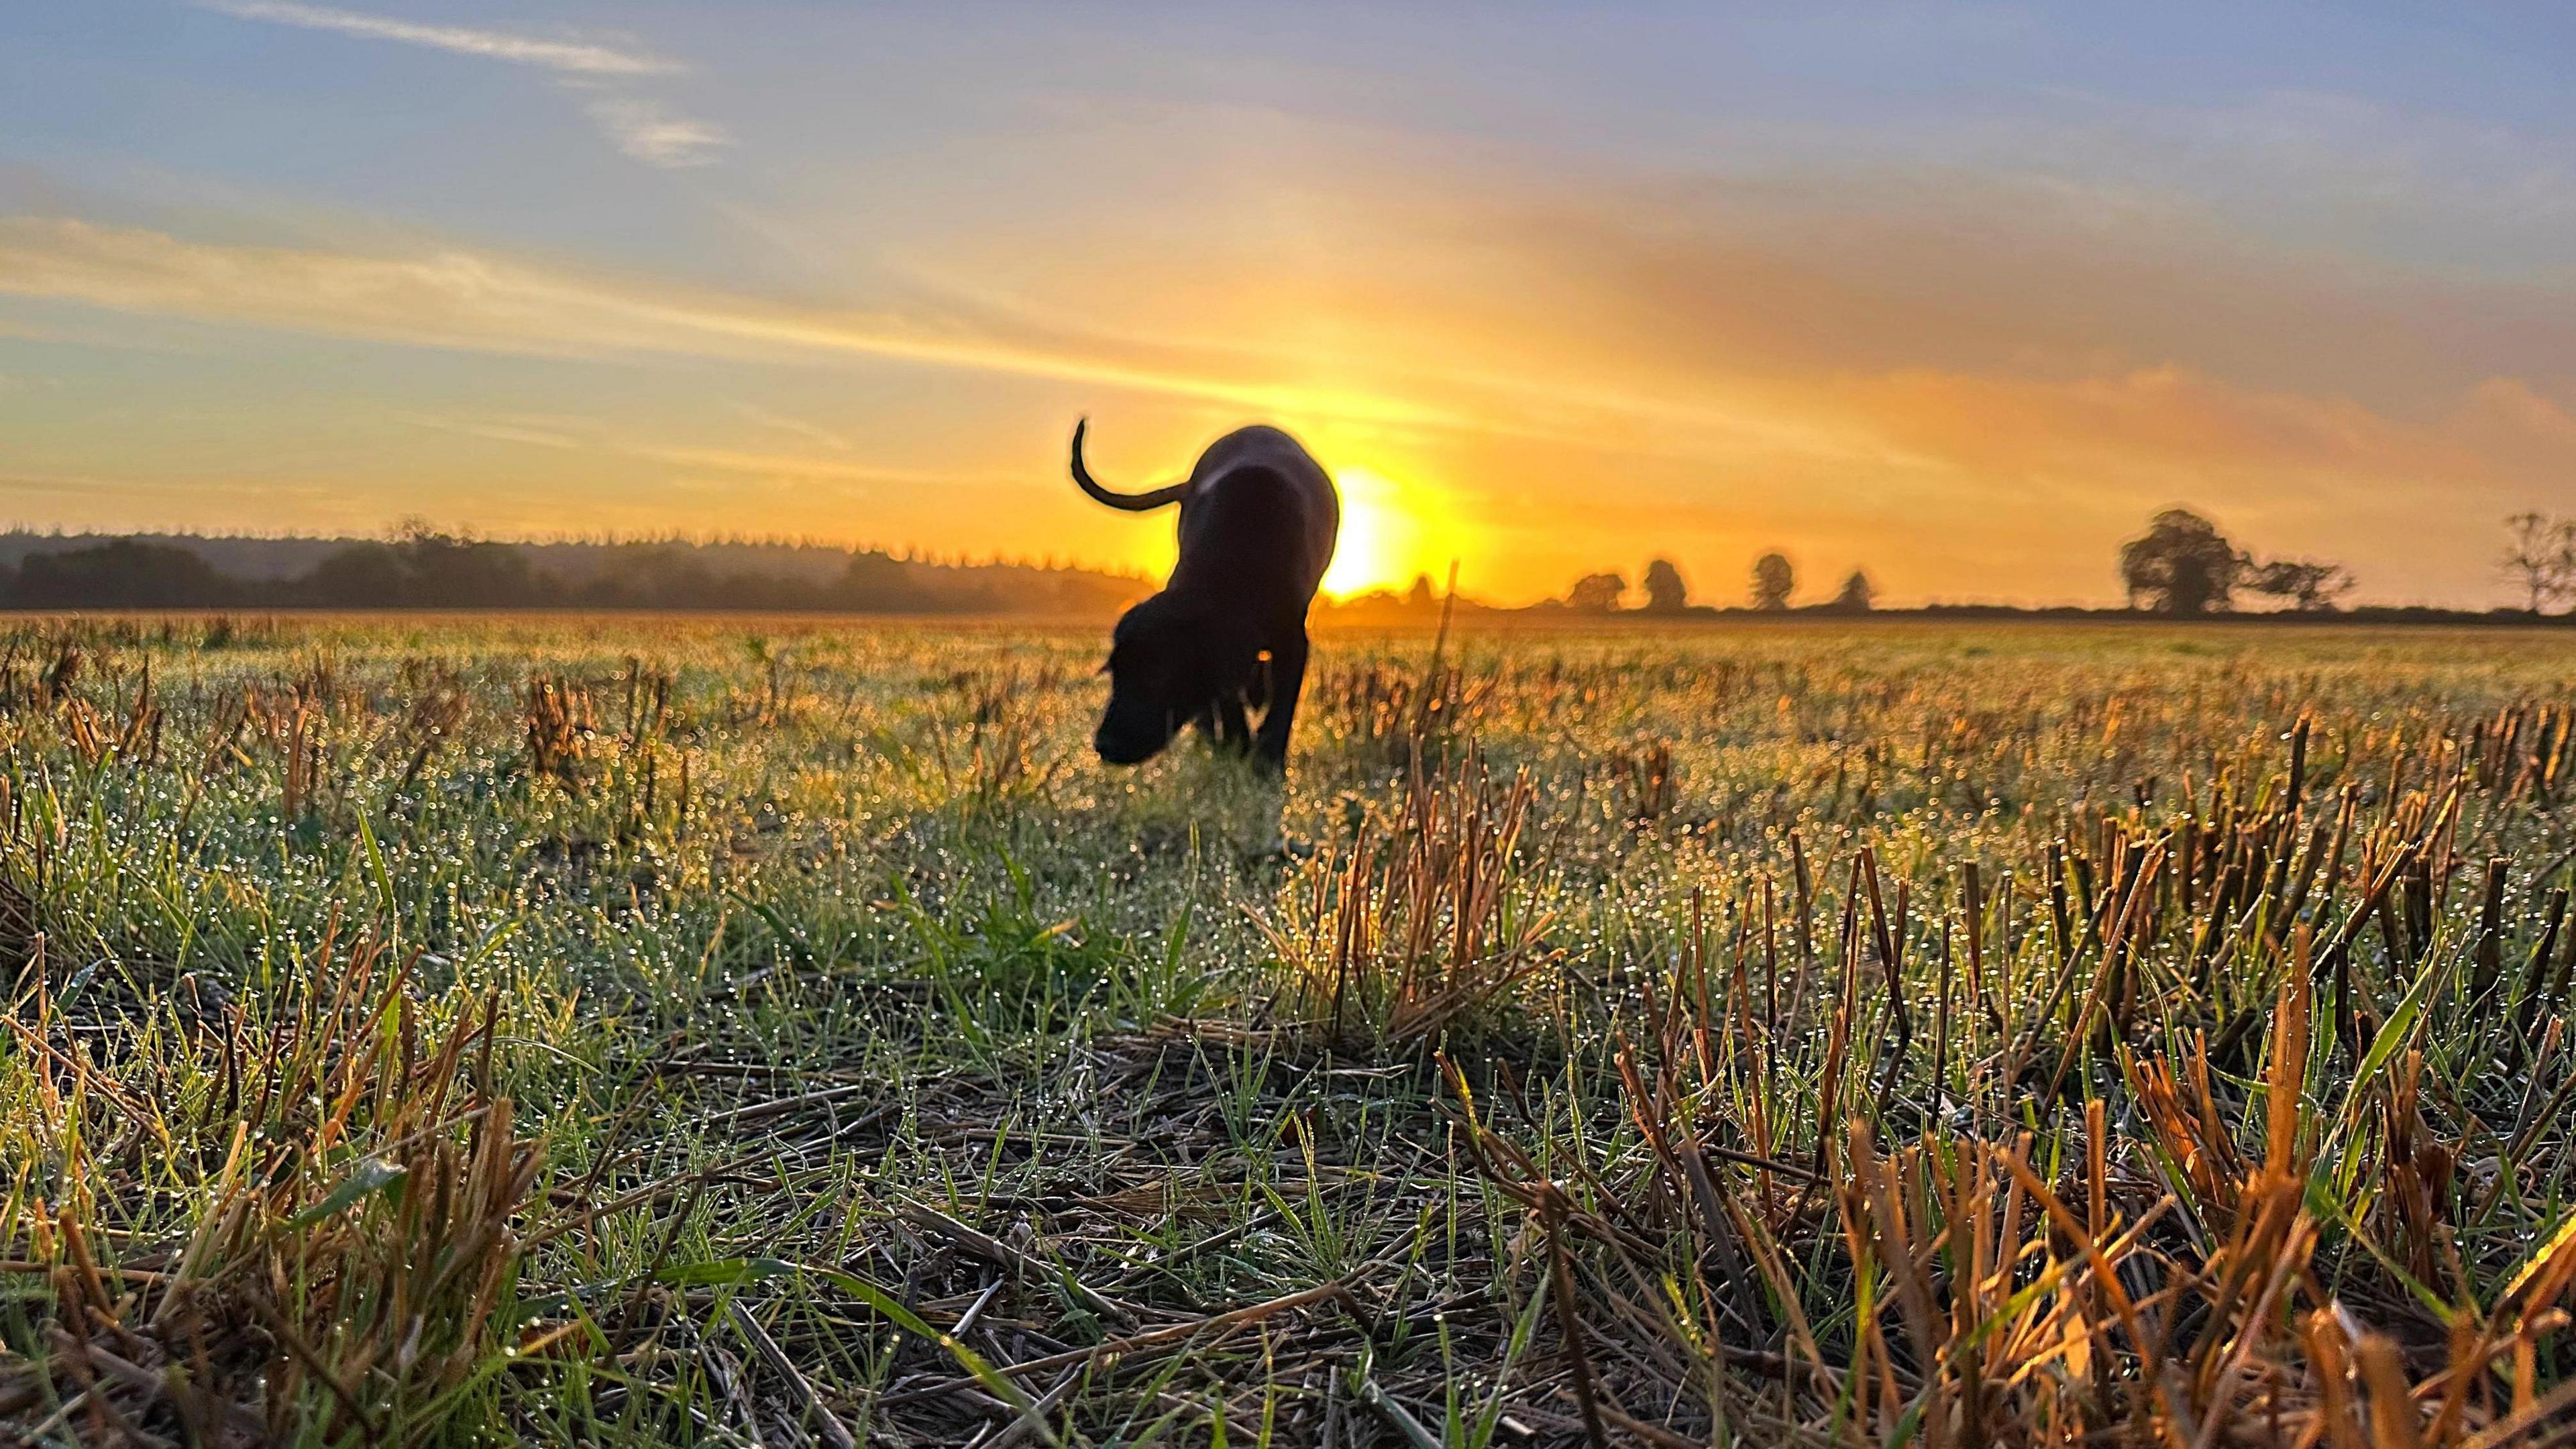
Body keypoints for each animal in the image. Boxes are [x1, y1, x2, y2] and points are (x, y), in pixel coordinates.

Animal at [1071, 417, 1339, 773]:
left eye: (1160, 674)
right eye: (1115, 671)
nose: (1105, 746)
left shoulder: (1293, 643)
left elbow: (1281, 709)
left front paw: (1266, 765)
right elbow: (1229, 707)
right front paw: (1238, 750)